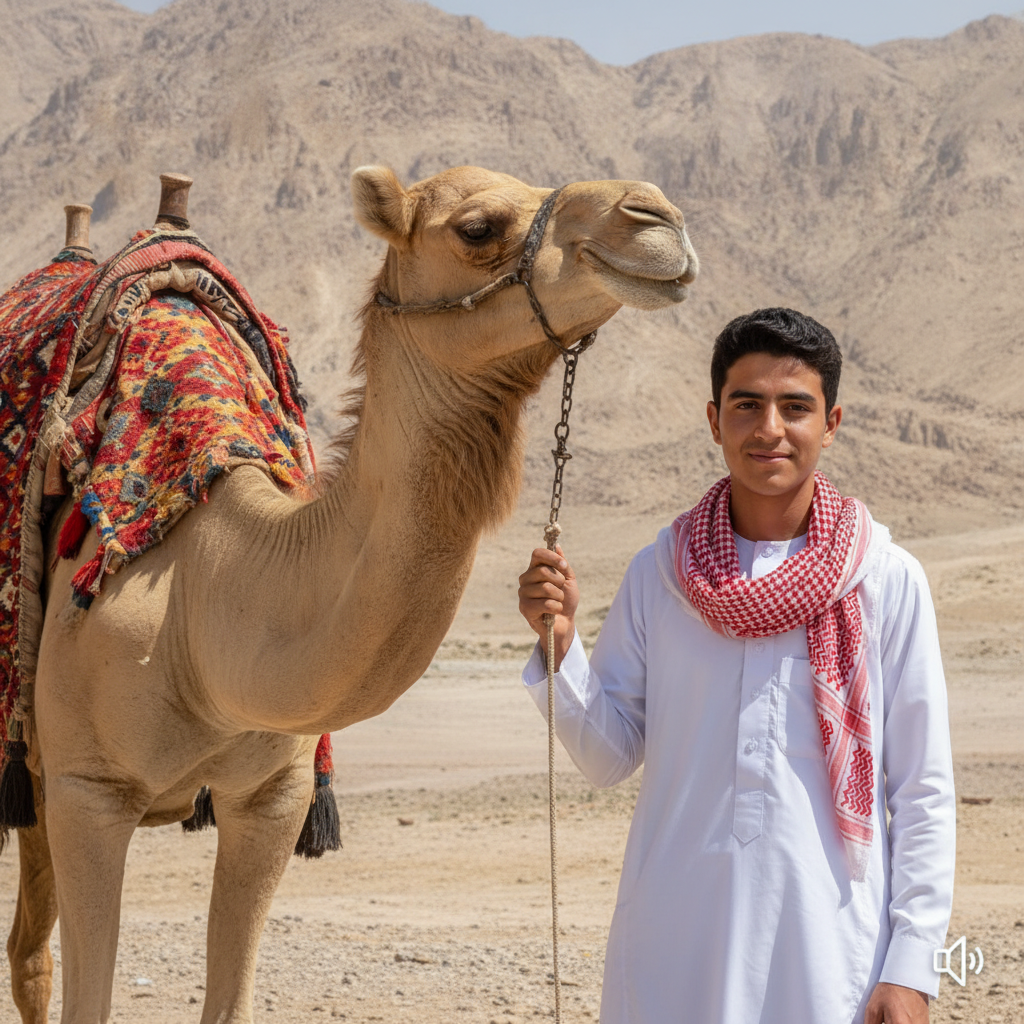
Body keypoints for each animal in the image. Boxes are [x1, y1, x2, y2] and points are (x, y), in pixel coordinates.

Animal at [5, 164, 698, 1024]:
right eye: (477, 228)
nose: (656, 216)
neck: (199, 605)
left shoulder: (274, 797)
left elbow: (229, 1001)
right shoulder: (88, 792)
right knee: (33, 955)